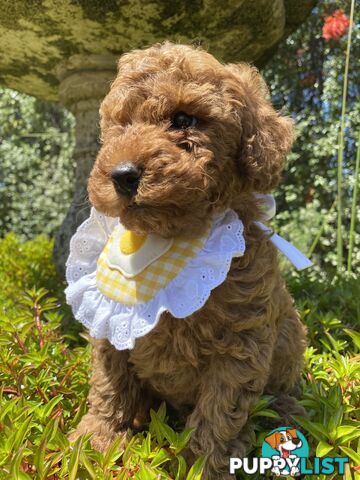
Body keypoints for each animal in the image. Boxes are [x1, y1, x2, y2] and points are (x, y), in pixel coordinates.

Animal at [74, 42, 306, 480]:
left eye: (183, 119)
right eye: (120, 126)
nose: (122, 174)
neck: (171, 237)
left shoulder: (240, 345)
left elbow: (219, 411)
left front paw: (202, 465)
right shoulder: (111, 330)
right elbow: (110, 388)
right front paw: (96, 445)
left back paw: (288, 418)